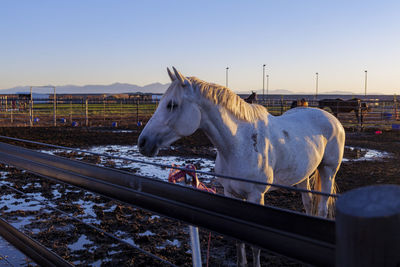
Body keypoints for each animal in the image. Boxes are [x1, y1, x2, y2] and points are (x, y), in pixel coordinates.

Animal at [138, 67, 344, 267]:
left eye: (172, 104)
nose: (143, 142)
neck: (238, 144)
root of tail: (333, 120)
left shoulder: (256, 196)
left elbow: (255, 244)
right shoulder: (231, 194)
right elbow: (238, 240)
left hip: (328, 171)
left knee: (323, 208)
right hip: (303, 175)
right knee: (308, 203)